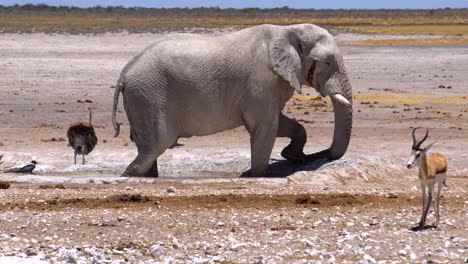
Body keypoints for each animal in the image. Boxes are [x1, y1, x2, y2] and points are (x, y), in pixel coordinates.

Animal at [111, 23, 352, 177]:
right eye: (328, 62)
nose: (315, 157)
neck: (289, 30)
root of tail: (124, 72)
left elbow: (280, 123)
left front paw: (292, 156)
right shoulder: (261, 81)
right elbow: (265, 127)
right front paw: (259, 175)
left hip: (143, 97)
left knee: (148, 152)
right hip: (149, 96)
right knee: (155, 147)